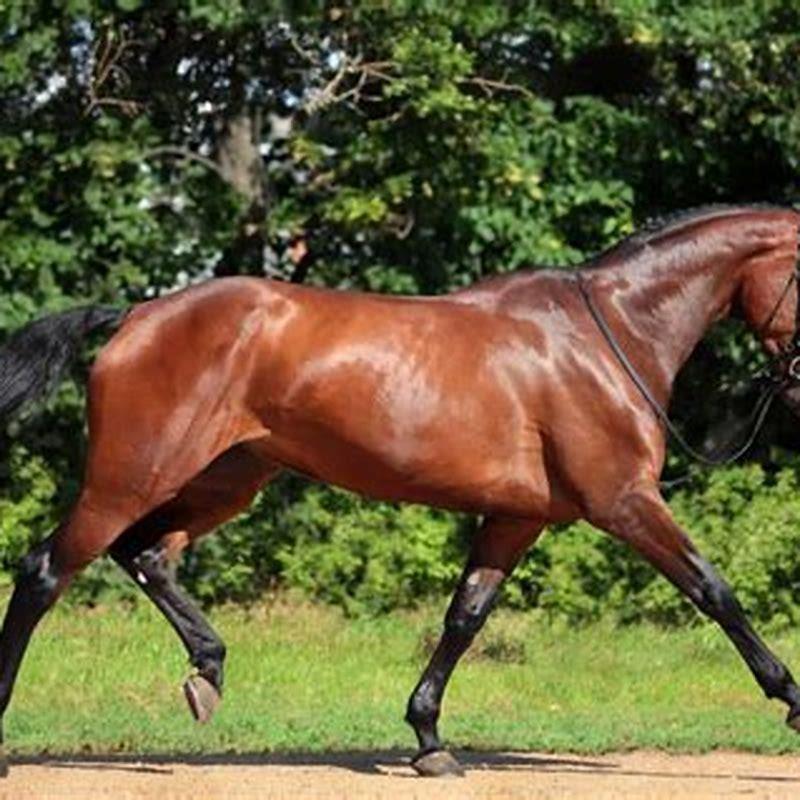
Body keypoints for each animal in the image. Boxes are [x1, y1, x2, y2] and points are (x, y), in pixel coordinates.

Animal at [0, 204, 799, 777]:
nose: (797, 386)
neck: (606, 338)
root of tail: (137, 315)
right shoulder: (625, 502)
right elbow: (715, 591)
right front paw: (791, 700)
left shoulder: (517, 518)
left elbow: (465, 618)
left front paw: (429, 737)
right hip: (130, 477)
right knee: (46, 571)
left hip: (226, 479)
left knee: (147, 556)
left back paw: (209, 670)